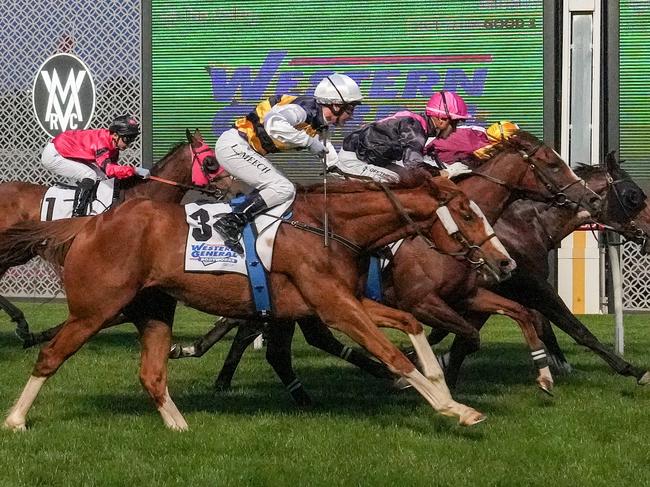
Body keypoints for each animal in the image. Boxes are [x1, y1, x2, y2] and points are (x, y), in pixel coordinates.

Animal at [1, 173, 516, 430]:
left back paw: (180, 426)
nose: (505, 262)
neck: (331, 228)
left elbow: (409, 324)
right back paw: (16, 419)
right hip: (95, 308)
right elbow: (392, 353)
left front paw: (443, 385)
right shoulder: (335, 306)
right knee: (50, 355)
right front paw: (455, 409)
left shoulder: (342, 301)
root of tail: (88, 223)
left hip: (154, 309)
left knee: (151, 373)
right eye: (467, 212)